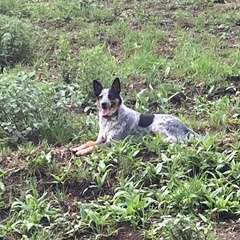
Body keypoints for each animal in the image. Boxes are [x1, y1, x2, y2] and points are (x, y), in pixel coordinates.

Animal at [71, 78, 199, 155]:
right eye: (100, 96)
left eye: (111, 96)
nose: (103, 104)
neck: (110, 119)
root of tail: (184, 126)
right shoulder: (100, 139)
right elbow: (89, 143)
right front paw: (78, 148)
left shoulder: (113, 142)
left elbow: (94, 147)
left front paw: (82, 152)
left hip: (158, 126)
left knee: (174, 139)